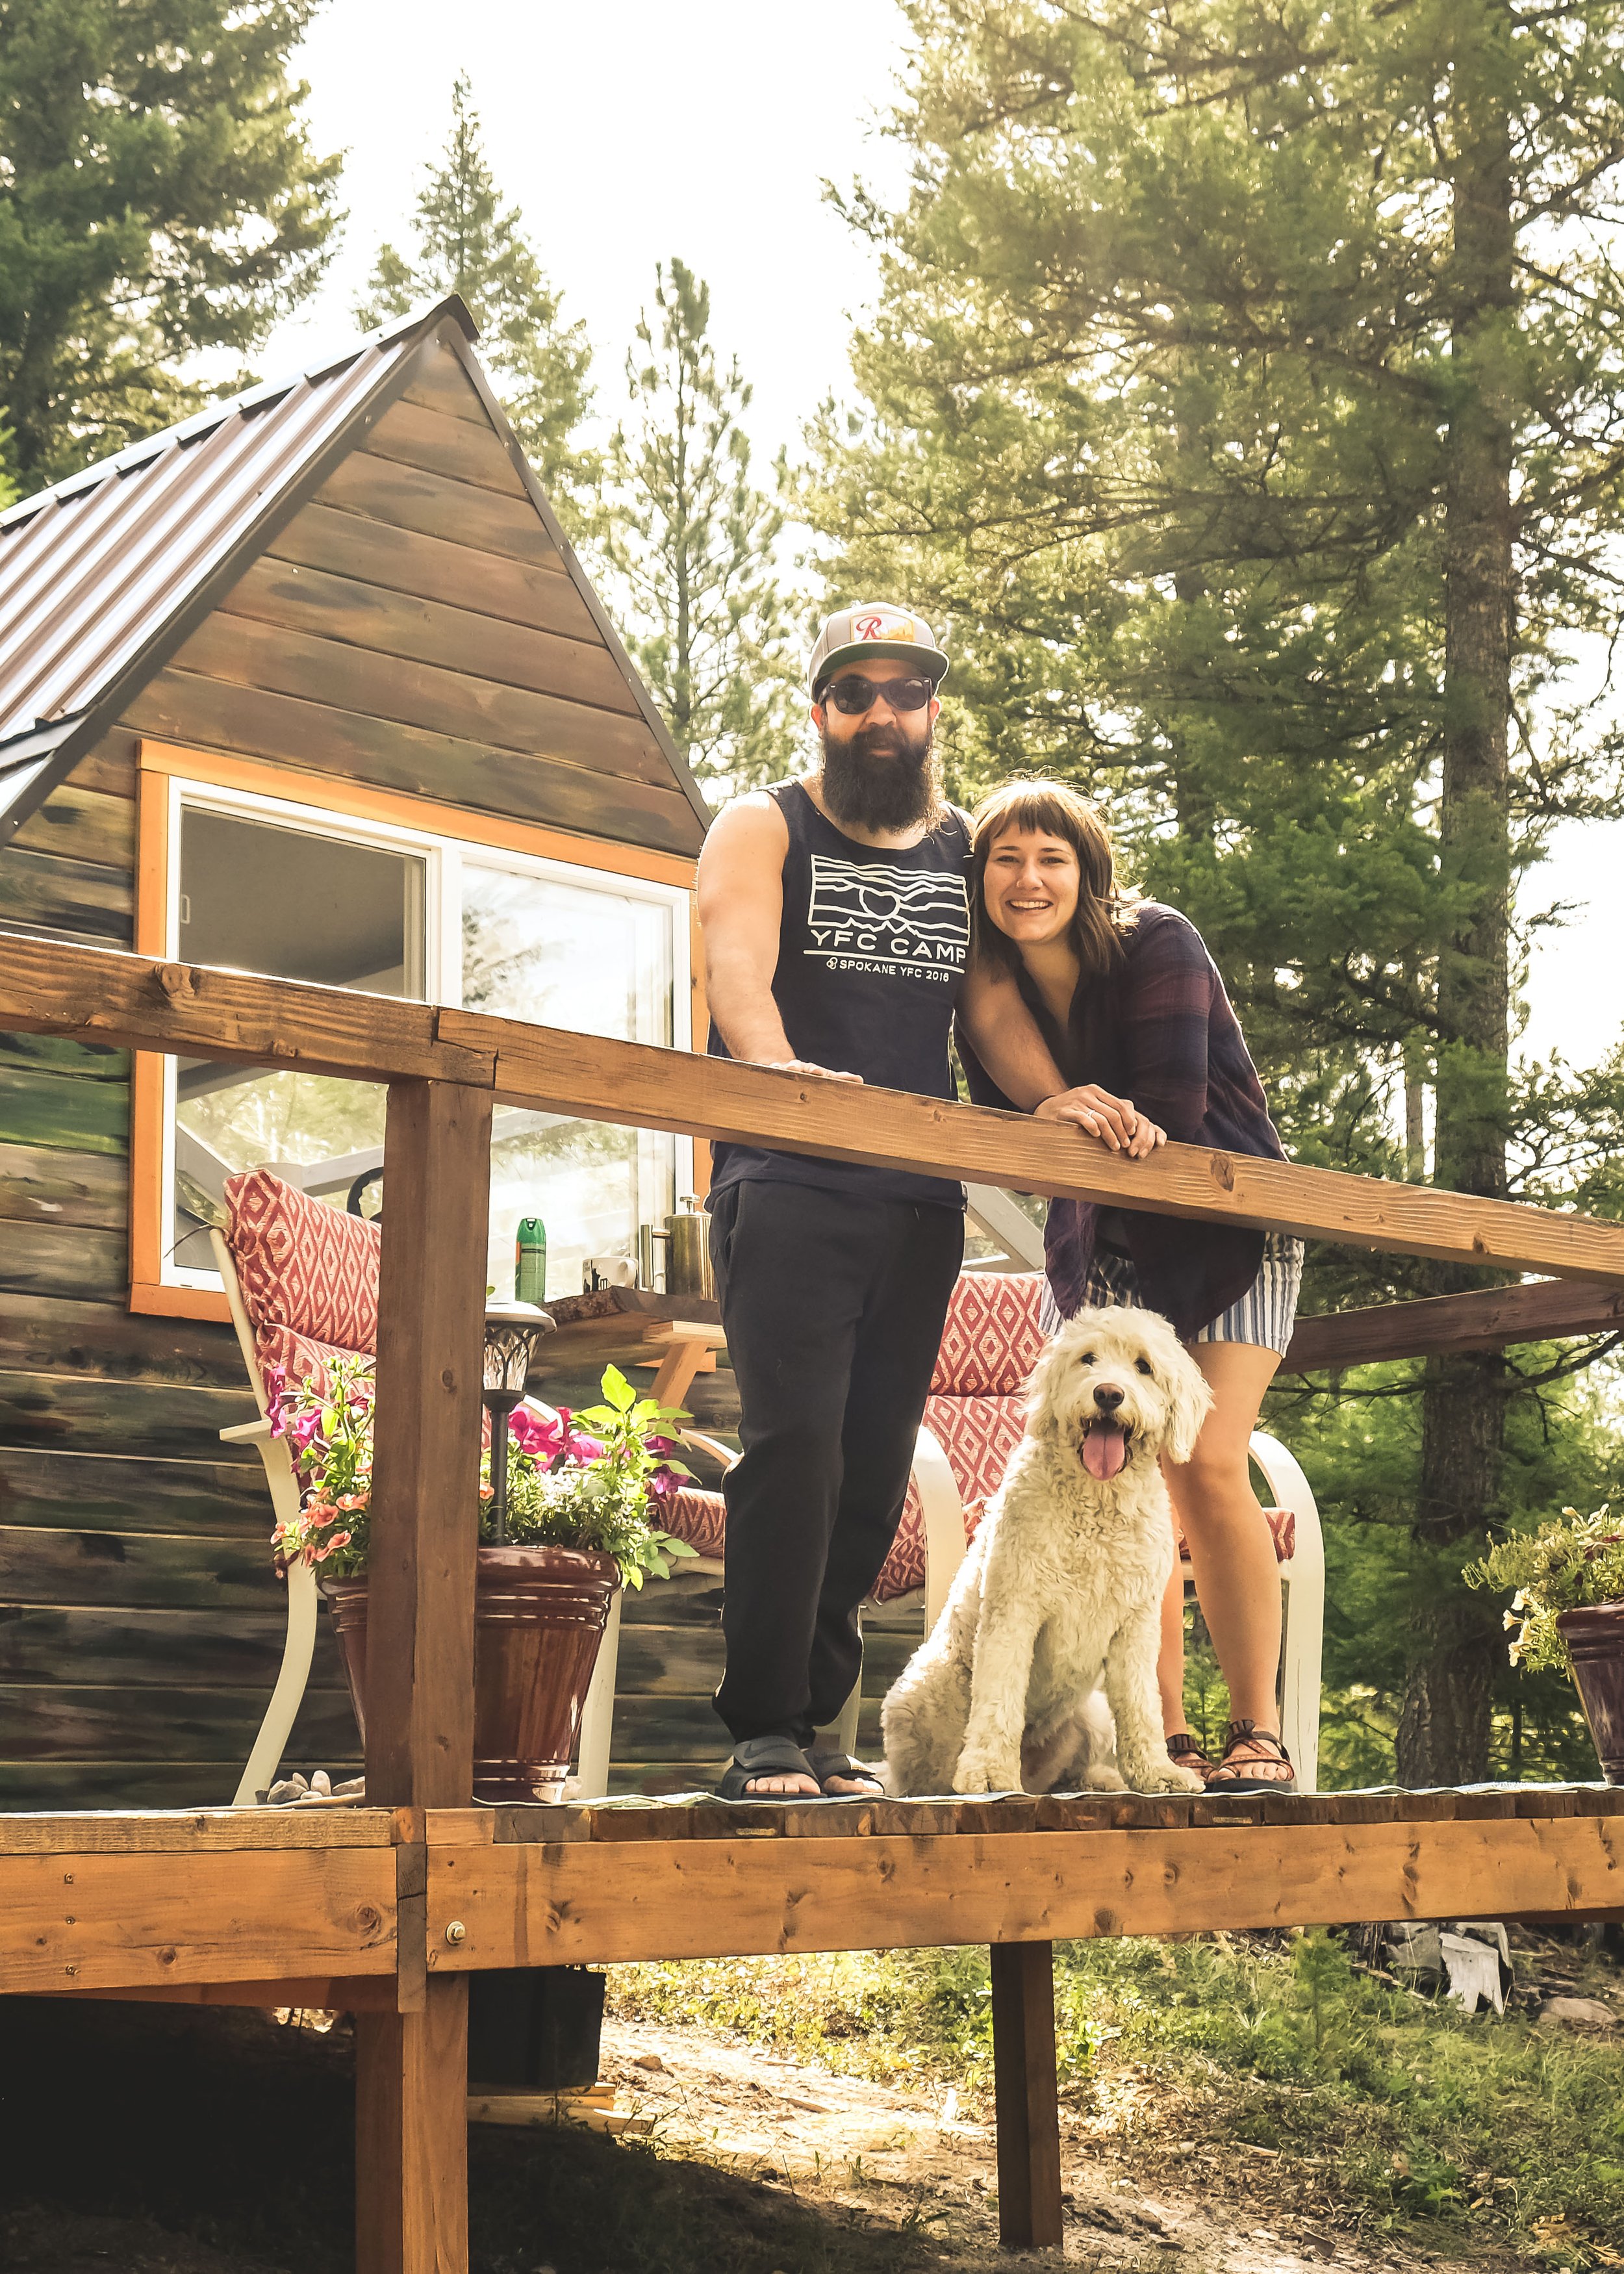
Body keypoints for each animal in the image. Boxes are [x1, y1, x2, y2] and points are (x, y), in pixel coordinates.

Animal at [878, 1310, 1210, 1801]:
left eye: (1143, 1366)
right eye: (1088, 1359)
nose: (1108, 1394)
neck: (1097, 1507)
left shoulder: (1136, 1626)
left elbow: (1143, 1706)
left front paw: (1157, 1773)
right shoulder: (1015, 1608)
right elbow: (1000, 1695)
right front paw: (989, 1773)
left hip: (1092, 1715)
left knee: (1070, 1770)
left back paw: (1101, 1779)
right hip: (924, 1692)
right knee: (928, 1769)